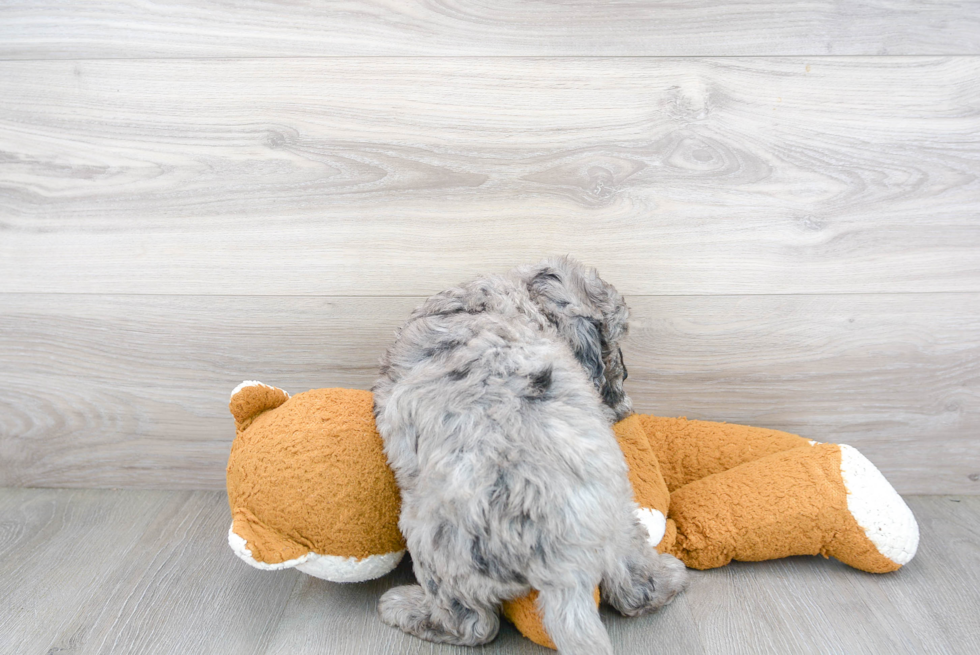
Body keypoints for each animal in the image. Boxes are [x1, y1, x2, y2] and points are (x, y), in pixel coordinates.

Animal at [372, 258, 684, 655]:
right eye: (613, 344)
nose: (625, 382)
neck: (502, 303)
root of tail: (566, 565)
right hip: (623, 523)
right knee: (636, 589)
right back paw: (670, 576)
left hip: (433, 543)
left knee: (472, 625)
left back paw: (403, 607)